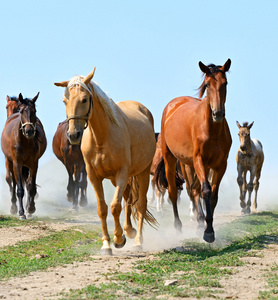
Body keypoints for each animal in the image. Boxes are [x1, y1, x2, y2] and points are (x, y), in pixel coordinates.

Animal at [54, 68, 159, 255]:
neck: (101, 138)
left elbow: (115, 206)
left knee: (140, 204)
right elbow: (102, 209)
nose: (73, 135)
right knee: (128, 200)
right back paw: (129, 230)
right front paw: (107, 245)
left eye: (84, 99)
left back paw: (137, 241)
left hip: (143, 172)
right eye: (65, 100)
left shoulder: (122, 174)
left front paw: (118, 239)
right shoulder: (94, 177)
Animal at [154, 59, 232, 244]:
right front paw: (208, 231)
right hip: (171, 159)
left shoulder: (220, 164)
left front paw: (207, 227)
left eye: (225, 83)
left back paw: (198, 221)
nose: (218, 113)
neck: (211, 129)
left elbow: (213, 195)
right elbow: (206, 190)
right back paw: (178, 226)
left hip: (188, 163)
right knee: (174, 192)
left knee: (193, 190)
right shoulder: (199, 160)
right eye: (207, 84)